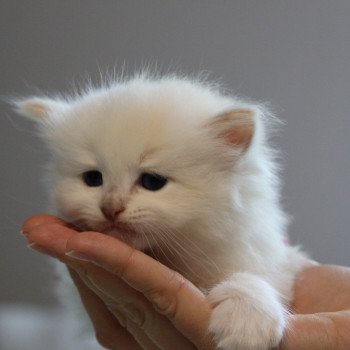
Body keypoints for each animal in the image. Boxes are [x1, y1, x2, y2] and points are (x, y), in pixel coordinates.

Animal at [15, 72, 308, 348]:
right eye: (93, 179)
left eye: (152, 182)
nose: (110, 208)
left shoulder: (269, 258)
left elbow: (252, 278)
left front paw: (246, 322)